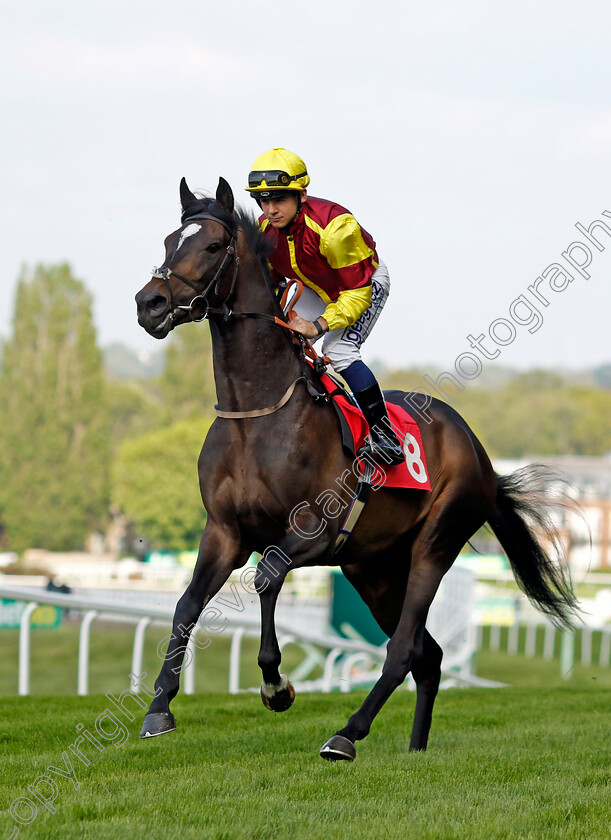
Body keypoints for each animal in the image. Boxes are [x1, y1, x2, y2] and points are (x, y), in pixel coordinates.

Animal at [135, 177, 580, 760]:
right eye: (169, 242)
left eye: (212, 246)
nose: (149, 303)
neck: (257, 415)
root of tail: (479, 454)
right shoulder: (224, 532)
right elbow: (187, 604)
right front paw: (159, 708)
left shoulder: (317, 531)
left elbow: (268, 575)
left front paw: (276, 685)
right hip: (373, 569)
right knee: (429, 656)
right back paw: (415, 748)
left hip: (435, 544)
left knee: (404, 648)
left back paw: (347, 734)